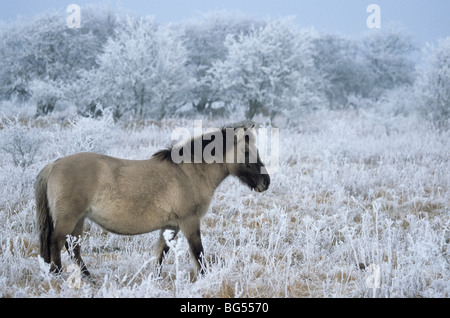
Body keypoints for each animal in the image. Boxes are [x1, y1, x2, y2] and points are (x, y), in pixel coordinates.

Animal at [35, 125, 270, 278]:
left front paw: (154, 278)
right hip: (69, 218)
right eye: (246, 152)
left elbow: (161, 254)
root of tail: (53, 165)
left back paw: (86, 276)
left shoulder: (172, 225)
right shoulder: (189, 222)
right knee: (56, 242)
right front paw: (206, 279)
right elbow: (198, 253)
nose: (265, 182)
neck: (189, 173)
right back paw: (57, 275)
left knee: (73, 247)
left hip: (79, 219)